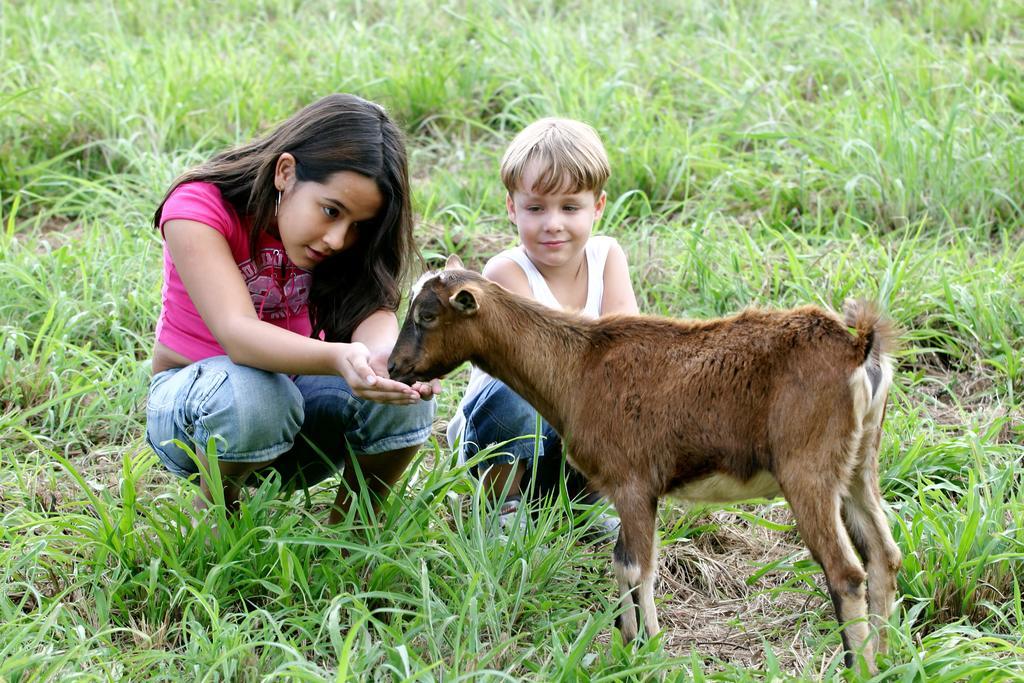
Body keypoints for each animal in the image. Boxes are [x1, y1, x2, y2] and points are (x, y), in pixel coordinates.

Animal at [387, 253, 901, 671]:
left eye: (427, 315)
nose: (394, 368)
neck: (577, 368)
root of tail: (858, 348)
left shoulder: (632, 482)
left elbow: (636, 566)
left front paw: (648, 651)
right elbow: (623, 562)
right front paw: (629, 646)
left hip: (807, 470)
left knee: (845, 572)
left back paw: (858, 667)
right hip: (858, 465)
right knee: (884, 554)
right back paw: (886, 657)